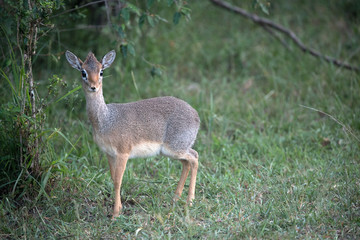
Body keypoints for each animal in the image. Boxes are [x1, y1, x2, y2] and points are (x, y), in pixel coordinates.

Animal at [64, 49, 200, 218]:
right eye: (83, 72)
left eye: (101, 71)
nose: (93, 86)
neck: (106, 120)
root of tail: (196, 116)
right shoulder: (109, 153)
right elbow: (113, 178)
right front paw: (118, 209)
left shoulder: (123, 153)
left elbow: (118, 181)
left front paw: (115, 214)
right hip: (172, 152)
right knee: (187, 163)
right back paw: (176, 199)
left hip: (175, 148)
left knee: (195, 157)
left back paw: (189, 202)